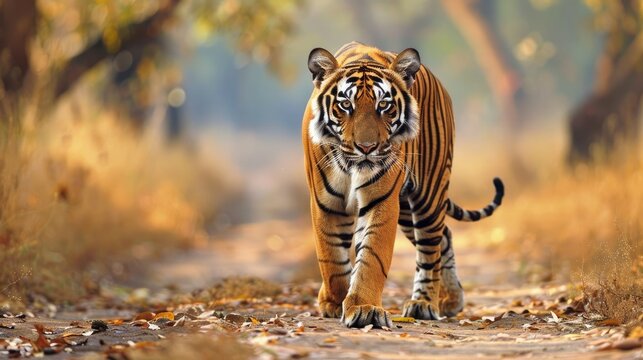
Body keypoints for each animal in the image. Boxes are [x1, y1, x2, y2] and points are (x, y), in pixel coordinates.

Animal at [302, 40, 504, 328]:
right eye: (346, 105)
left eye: (384, 105)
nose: (367, 147)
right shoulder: (325, 203)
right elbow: (330, 257)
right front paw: (333, 302)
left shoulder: (381, 201)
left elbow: (371, 257)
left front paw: (363, 308)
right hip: (407, 210)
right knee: (445, 236)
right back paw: (452, 299)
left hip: (428, 196)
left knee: (430, 251)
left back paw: (425, 304)